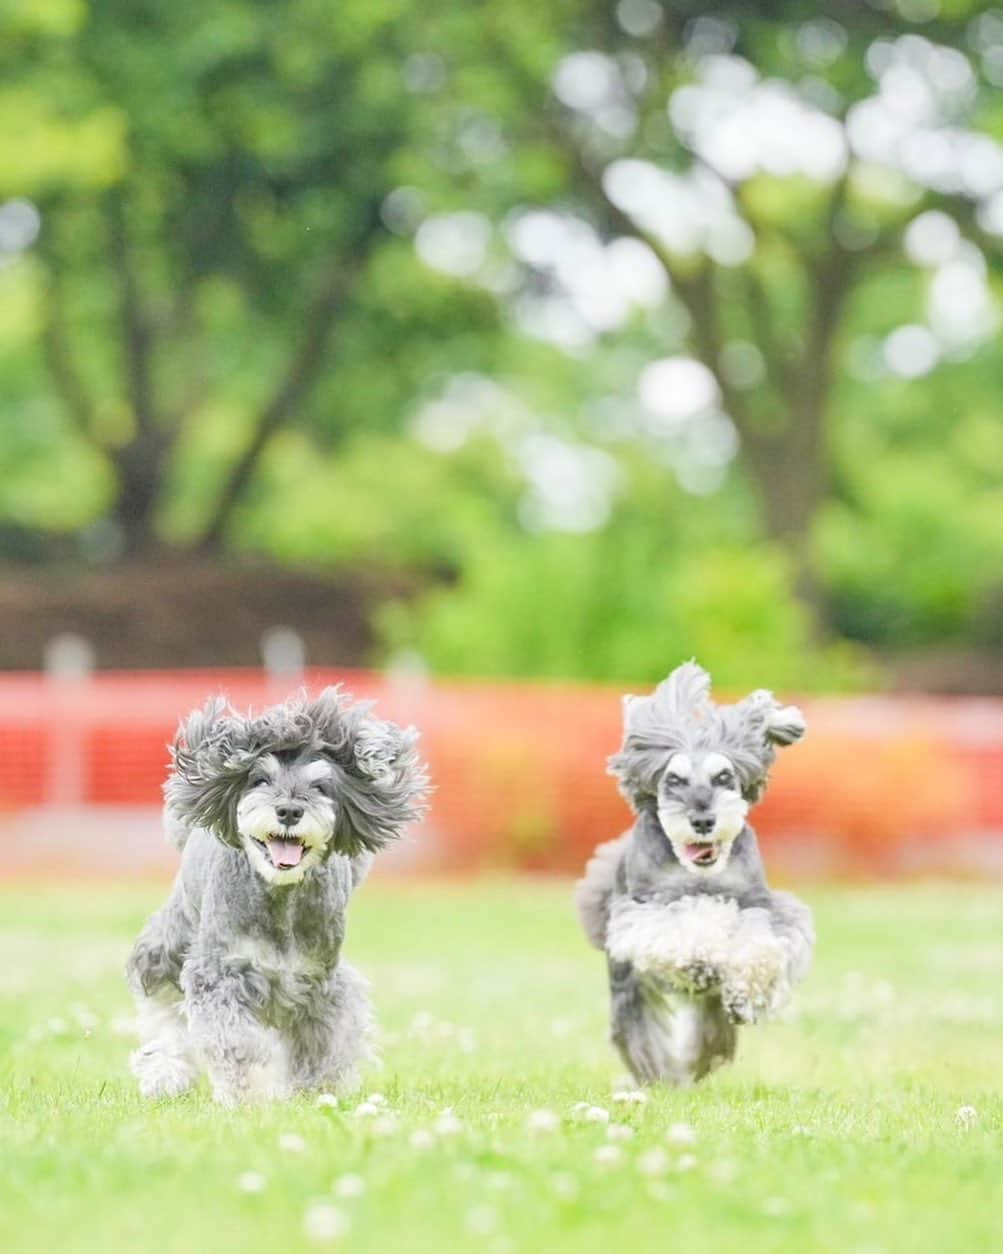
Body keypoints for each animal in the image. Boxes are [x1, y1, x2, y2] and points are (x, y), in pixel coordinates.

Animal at [125, 687, 426, 1108]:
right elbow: (234, 1044)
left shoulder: (319, 985)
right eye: (260, 779)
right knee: (161, 1001)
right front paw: (246, 1097)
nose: (288, 810)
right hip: (172, 940)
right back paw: (165, 1073)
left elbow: (322, 1047)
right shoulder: (220, 973)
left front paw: (316, 1094)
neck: (280, 899)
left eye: (320, 787)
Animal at [576, 667, 817, 1088]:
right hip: (627, 985)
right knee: (637, 1028)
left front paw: (747, 991)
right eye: (674, 780)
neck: (701, 875)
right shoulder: (643, 911)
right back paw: (660, 1074)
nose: (703, 820)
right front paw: (699, 955)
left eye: (724, 777)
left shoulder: (759, 905)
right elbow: (679, 933)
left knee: (712, 1029)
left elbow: (762, 946)